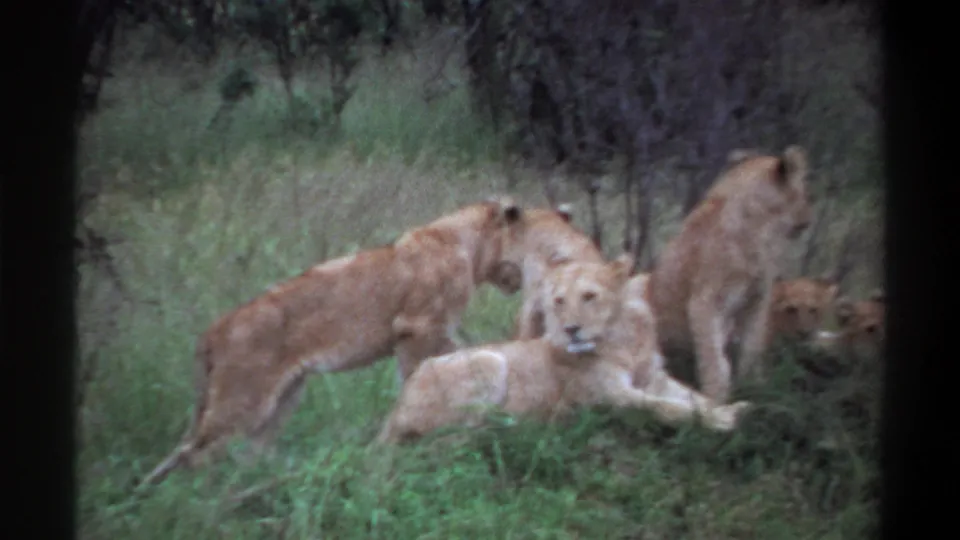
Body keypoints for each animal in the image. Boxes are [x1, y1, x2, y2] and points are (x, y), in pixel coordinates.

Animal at [137, 196, 529, 489]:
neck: (468, 247)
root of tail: (214, 330)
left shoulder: (436, 332)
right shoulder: (418, 328)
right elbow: (419, 375)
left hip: (285, 397)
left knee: (240, 454)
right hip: (243, 401)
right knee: (195, 454)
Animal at [375, 256, 753, 445]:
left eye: (589, 296)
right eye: (558, 301)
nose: (572, 329)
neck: (623, 339)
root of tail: (394, 410)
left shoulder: (654, 378)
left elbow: (694, 398)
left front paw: (730, 408)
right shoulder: (609, 396)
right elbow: (666, 408)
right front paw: (725, 421)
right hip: (488, 359)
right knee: (455, 435)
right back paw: (524, 425)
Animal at [646, 145, 813, 404]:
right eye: (806, 191)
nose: (809, 216)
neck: (762, 231)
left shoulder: (758, 299)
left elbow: (752, 346)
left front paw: (756, 387)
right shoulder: (704, 302)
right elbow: (714, 361)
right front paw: (715, 400)